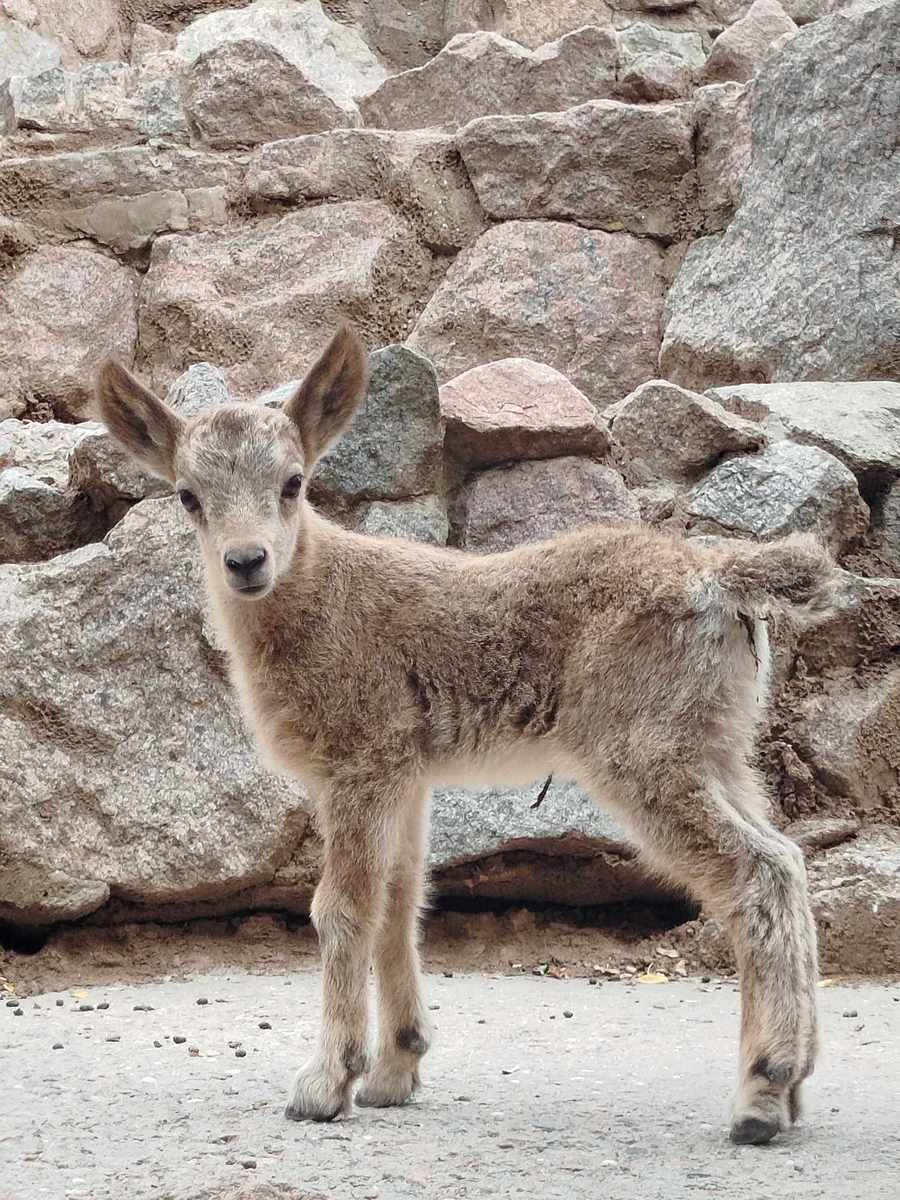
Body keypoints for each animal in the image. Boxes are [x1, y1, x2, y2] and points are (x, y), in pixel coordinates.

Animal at [97, 326, 840, 1142]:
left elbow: (342, 909)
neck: (321, 600)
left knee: (757, 873)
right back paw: (793, 1085)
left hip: (641, 747)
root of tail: (720, 579)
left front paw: (326, 1082)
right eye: (188, 497)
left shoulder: (358, 758)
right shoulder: (407, 773)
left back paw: (762, 1093)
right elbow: (401, 901)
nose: (246, 561)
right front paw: (396, 1069)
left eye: (294, 483)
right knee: (789, 860)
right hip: (718, 742)